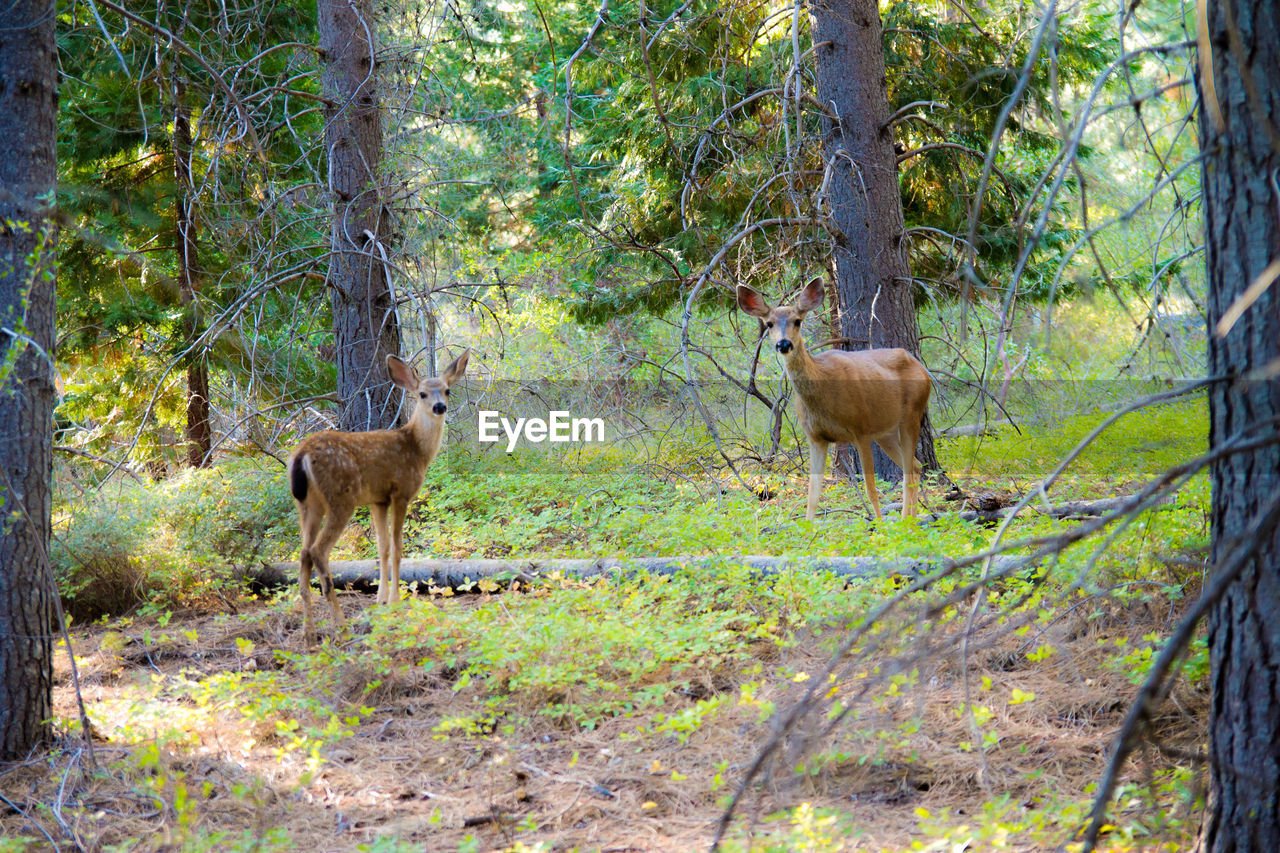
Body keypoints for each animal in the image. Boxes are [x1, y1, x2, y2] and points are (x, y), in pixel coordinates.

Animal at [289, 348, 471, 640]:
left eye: (447, 390)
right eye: (422, 393)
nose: (439, 407)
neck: (417, 449)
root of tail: (301, 455)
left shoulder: (378, 500)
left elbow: (382, 548)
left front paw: (381, 601)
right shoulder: (400, 492)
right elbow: (397, 548)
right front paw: (396, 601)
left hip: (307, 504)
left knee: (304, 553)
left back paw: (309, 633)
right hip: (341, 498)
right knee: (318, 551)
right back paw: (341, 625)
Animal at [742, 279, 931, 517]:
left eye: (797, 321)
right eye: (769, 324)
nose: (784, 344)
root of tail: (922, 368)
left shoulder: (860, 429)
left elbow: (870, 490)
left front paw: (878, 525)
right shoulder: (815, 437)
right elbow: (812, 496)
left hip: (912, 414)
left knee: (909, 470)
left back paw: (908, 520)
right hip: (884, 432)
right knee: (915, 466)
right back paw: (909, 520)